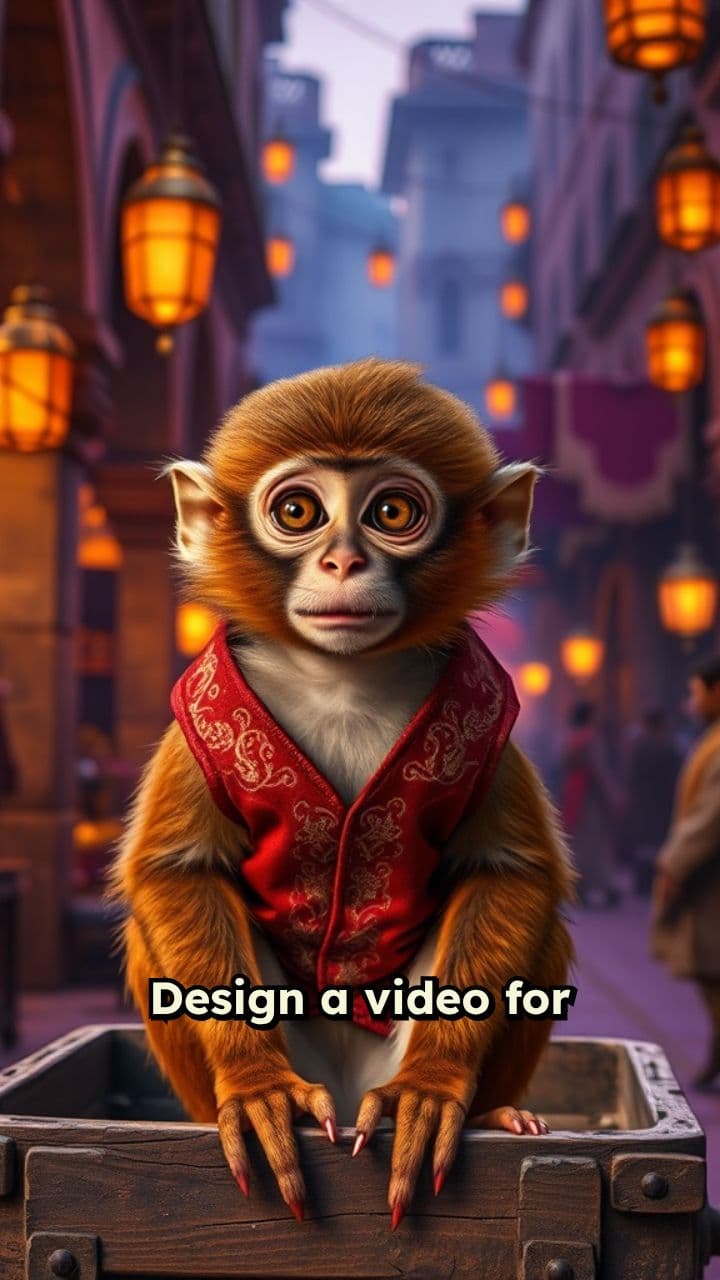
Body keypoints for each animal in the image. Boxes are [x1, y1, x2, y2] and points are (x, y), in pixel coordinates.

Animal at [111, 357, 576, 1230]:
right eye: (298, 511)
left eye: (393, 511)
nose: (342, 563)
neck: (344, 678)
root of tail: (350, 1089)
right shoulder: (200, 720)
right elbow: (177, 872)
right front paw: (257, 1088)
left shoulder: (488, 718)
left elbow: (509, 873)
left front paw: (432, 1089)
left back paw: (484, 1108)